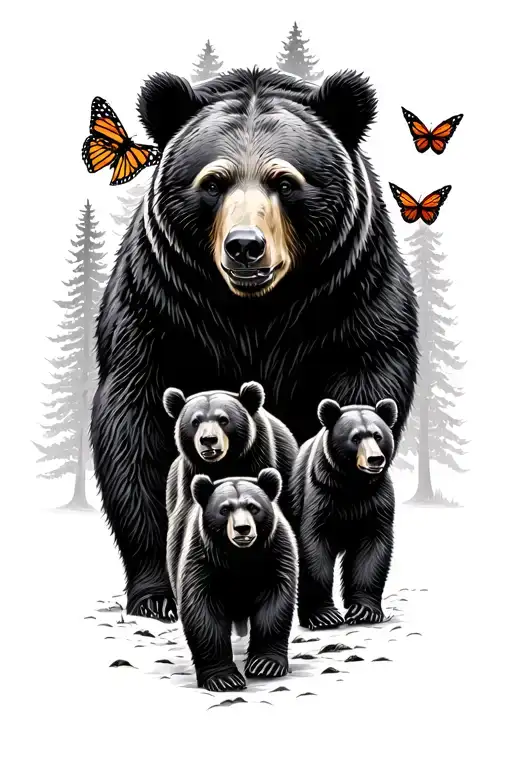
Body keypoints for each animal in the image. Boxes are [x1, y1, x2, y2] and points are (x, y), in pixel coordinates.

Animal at [173, 468, 298, 691]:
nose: (243, 528)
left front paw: (265, 664)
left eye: (253, 507)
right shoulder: (203, 558)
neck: (240, 556)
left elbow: (275, 602)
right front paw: (224, 678)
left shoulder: (275, 554)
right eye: (224, 509)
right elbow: (202, 610)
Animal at [291, 397, 398, 631]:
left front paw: (364, 611)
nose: (375, 459)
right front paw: (323, 616)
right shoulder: (322, 492)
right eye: (355, 438)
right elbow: (314, 545)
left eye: (378, 435)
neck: (352, 485)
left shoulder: (376, 499)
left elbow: (373, 547)